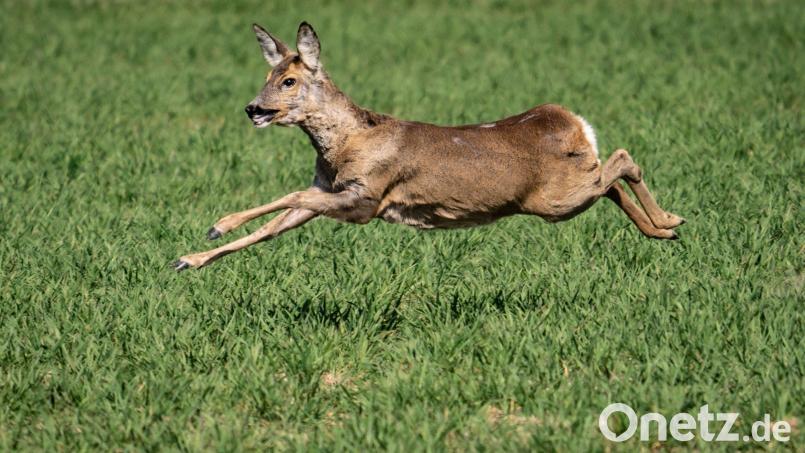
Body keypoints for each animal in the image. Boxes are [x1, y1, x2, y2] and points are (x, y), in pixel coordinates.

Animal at [174, 22, 685, 271]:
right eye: (267, 74)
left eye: (289, 81)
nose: (252, 109)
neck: (349, 142)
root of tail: (573, 121)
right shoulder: (333, 190)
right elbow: (275, 225)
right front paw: (189, 260)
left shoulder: (367, 196)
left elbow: (291, 196)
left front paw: (216, 225)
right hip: (567, 190)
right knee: (610, 179)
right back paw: (663, 231)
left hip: (553, 199)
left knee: (622, 160)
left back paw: (668, 221)